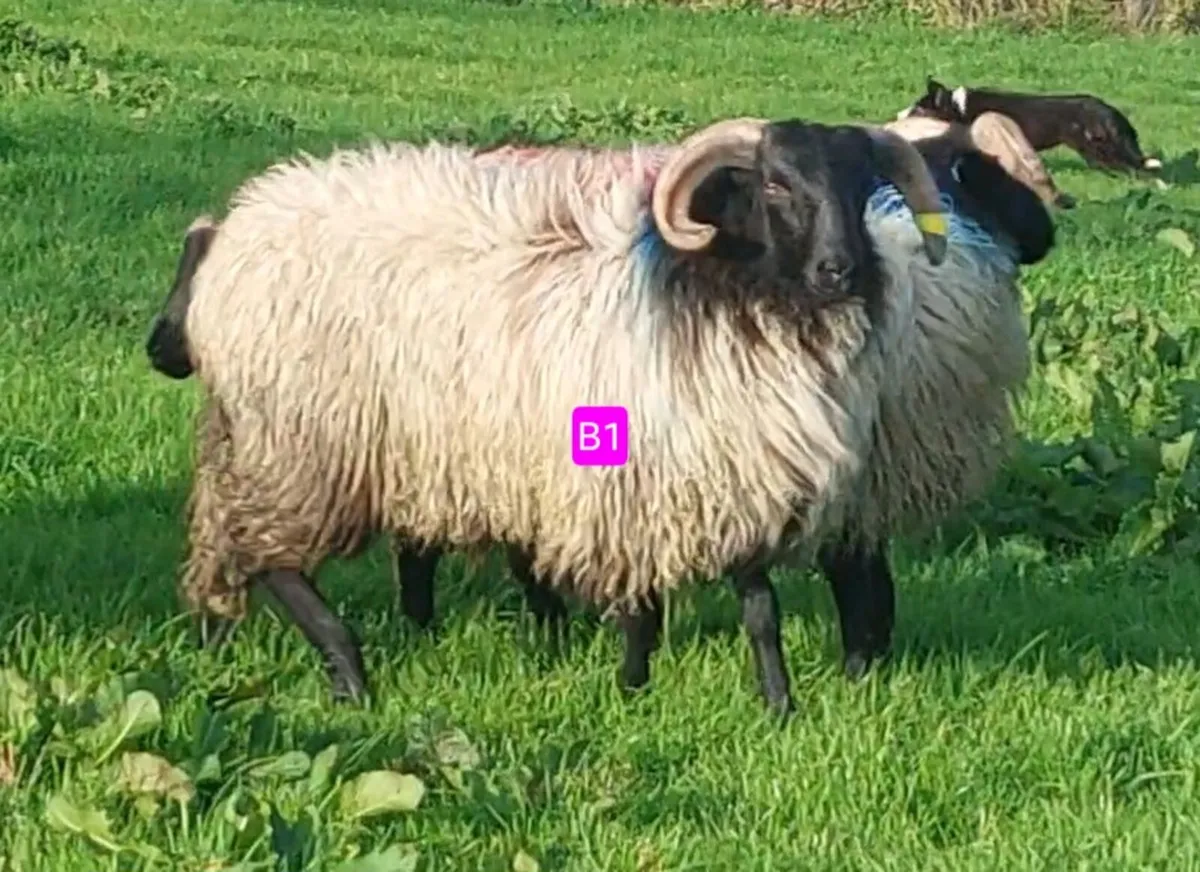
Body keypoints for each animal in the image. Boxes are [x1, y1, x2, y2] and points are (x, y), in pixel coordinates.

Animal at [146, 116, 955, 716]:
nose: (840, 269)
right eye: (778, 184)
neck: (710, 288)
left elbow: (759, 611)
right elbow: (643, 609)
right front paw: (632, 687)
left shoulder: (728, 475)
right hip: (301, 441)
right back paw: (349, 670)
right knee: (271, 552)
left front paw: (778, 705)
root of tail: (245, 227)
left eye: (864, 188)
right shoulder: (634, 484)